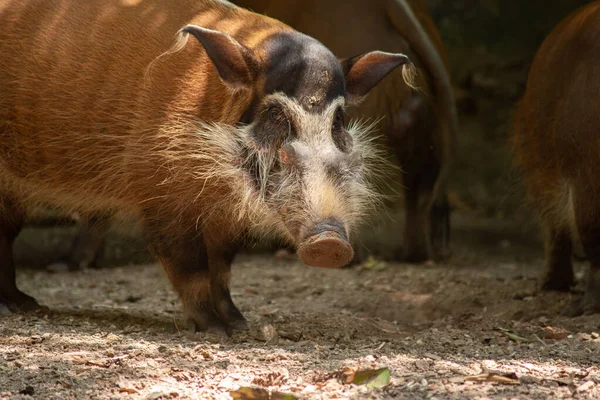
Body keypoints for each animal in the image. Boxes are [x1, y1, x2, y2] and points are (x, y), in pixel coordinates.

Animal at [0, 0, 414, 332]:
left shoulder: (225, 217)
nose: (329, 243)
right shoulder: (161, 196)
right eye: (276, 115)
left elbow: (222, 266)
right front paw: (215, 330)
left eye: (338, 120)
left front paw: (240, 324)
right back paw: (24, 307)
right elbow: (191, 266)